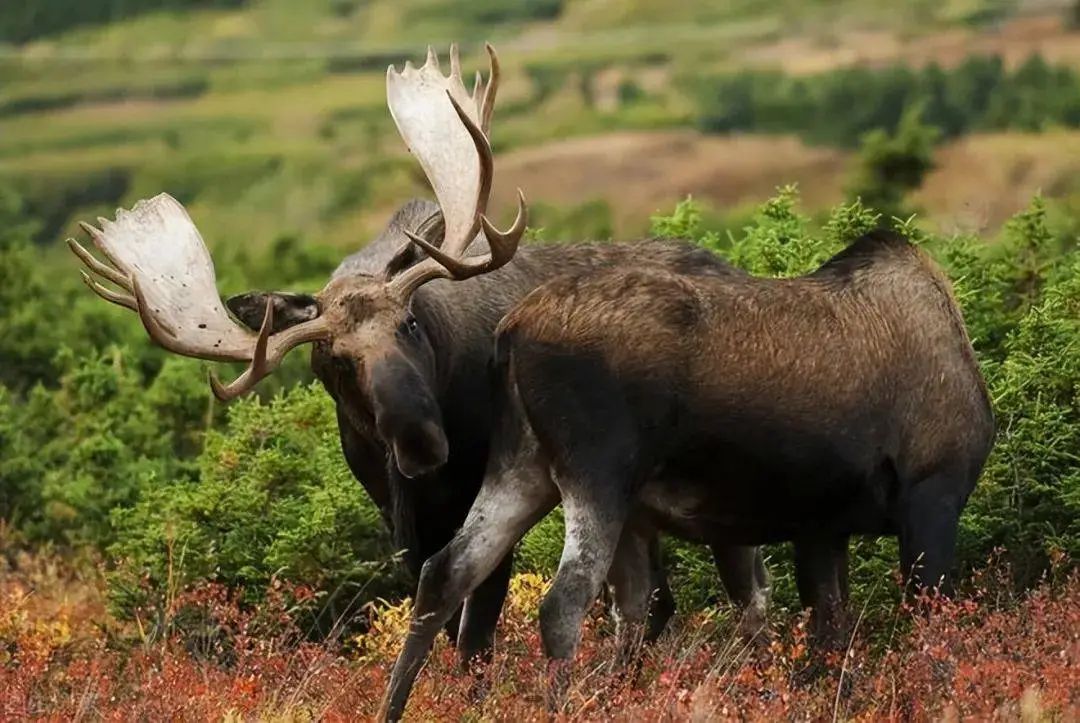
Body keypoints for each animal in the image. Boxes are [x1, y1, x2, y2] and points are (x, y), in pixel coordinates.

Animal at [69, 46, 768, 670]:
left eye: (410, 323)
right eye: (333, 361)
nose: (422, 443)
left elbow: (474, 640)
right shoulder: (400, 525)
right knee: (659, 602)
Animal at [380, 228, 993, 717]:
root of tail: (510, 333)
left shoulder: (822, 527)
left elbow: (828, 637)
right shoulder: (931, 495)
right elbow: (931, 633)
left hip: (522, 467)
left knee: (445, 571)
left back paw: (396, 707)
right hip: (598, 474)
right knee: (563, 603)